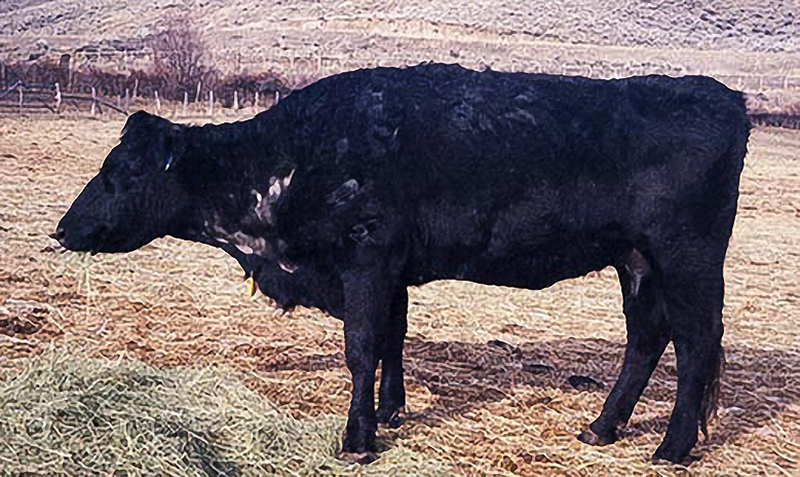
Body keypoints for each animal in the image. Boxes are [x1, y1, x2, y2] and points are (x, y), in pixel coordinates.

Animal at [52, 62, 750, 464]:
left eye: (123, 171)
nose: (63, 227)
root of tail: (723, 98)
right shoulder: (390, 273)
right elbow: (393, 337)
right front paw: (390, 410)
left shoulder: (366, 257)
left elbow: (362, 347)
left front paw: (359, 438)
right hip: (636, 261)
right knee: (647, 340)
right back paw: (601, 428)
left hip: (686, 258)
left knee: (695, 343)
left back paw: (673, 448)